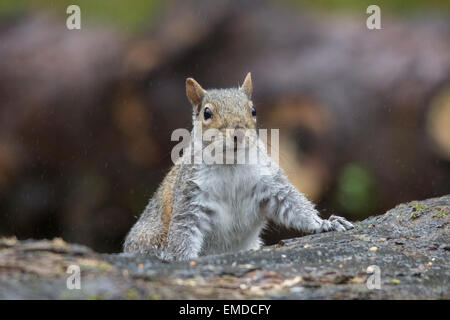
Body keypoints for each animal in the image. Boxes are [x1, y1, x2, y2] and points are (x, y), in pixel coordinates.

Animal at [124, 72, 356, 260]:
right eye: (206, 113)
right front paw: (183, 260)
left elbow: (293, 204)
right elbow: (183, 231)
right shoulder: (189, 196)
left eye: (253, 110)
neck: (231, 165)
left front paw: (325, 223)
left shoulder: (270, 183)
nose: (238, 133)